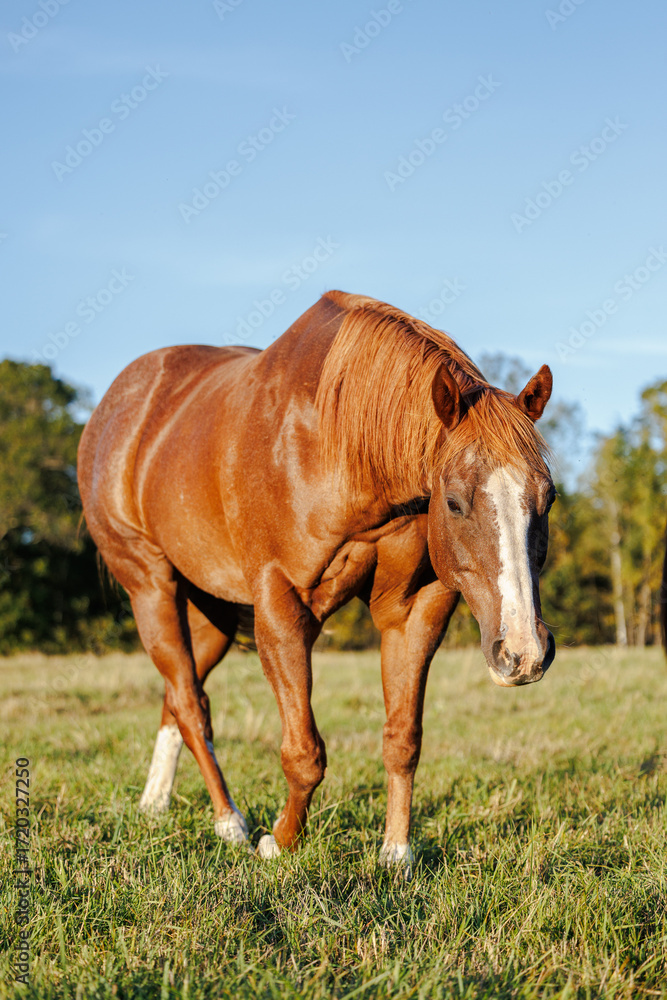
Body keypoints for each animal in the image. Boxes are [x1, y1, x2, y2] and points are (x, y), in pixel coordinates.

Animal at [77, 290, 556, 872]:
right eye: (454, 502)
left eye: (549, 497)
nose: (524, 653)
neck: (339, 449)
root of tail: (115, 406)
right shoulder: (280, 607)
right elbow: (304, 752)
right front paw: (279, 843)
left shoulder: (414, 609)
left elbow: (403, 738)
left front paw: (396, 853)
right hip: (151, 587)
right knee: (190, 704)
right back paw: (229, 822)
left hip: (211, 611)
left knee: (182, 695)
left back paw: (154, 802)